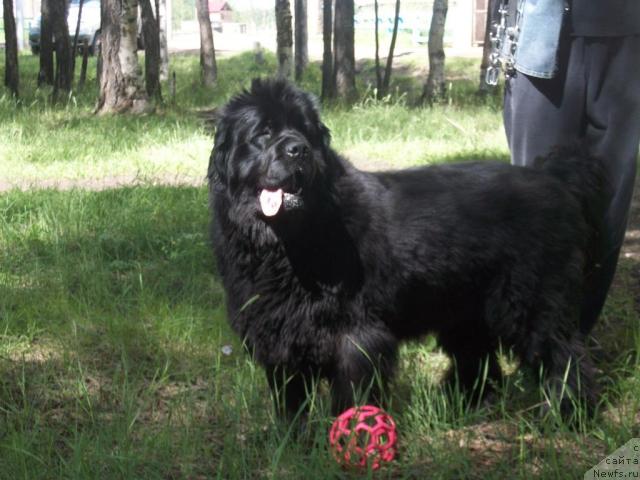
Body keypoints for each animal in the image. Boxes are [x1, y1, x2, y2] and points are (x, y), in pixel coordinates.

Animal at [210, 79, 608, 420]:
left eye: (305, 130)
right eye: (263, 132)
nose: (299, 150)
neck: (288, 243)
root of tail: (554, 178)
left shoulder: (356, 335)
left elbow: (353, 393)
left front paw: (350, 439)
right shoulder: (280, 332)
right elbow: (290, 400)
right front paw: (292, 441)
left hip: (532, 301)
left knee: (562, 353)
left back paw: (567, 414)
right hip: (466, 307)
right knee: (478, 356)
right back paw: (468, 404)